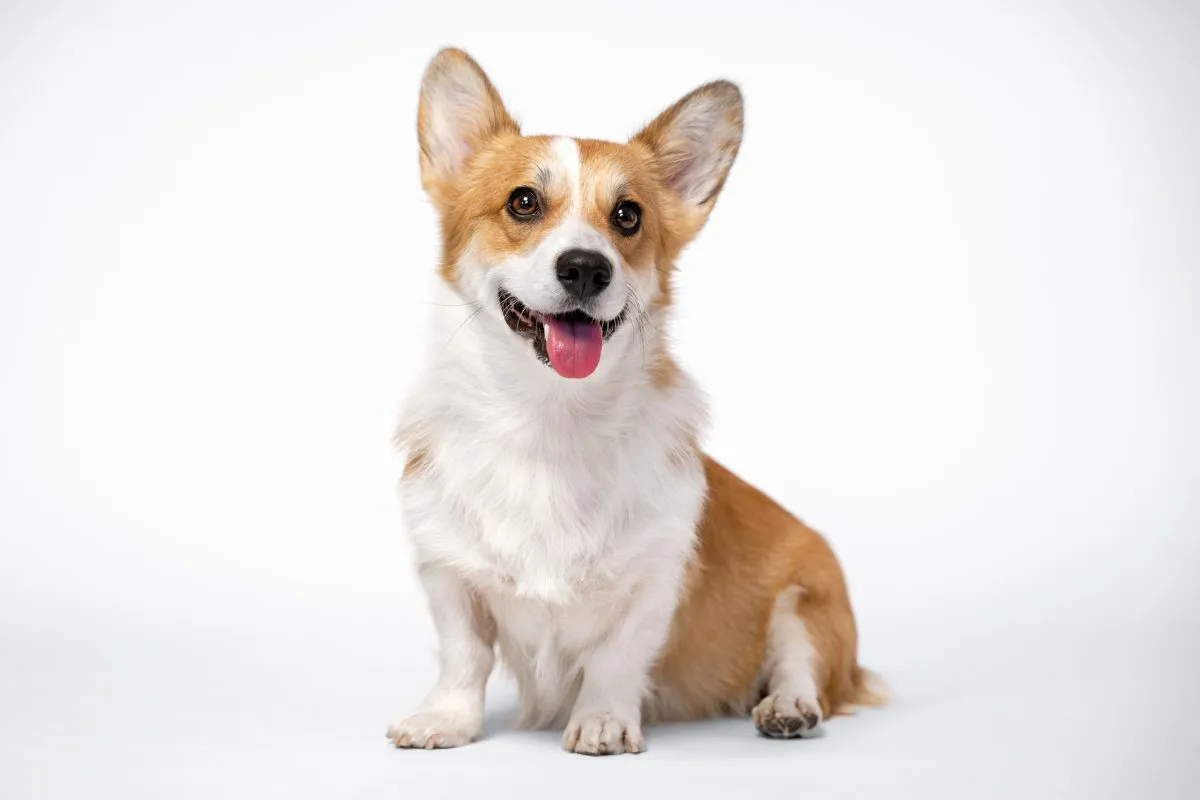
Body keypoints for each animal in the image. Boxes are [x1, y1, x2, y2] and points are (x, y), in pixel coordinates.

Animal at [388, 50, 888, 758]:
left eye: (627, 216)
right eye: (522, 202)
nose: (585, 267)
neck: (551, 416)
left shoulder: (653, 580)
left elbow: (615, 658)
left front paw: (601, 720)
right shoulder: (448, 571)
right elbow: (464, 656)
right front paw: (446, 720)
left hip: (809, 603)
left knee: (801, 663)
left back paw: (788, 707)